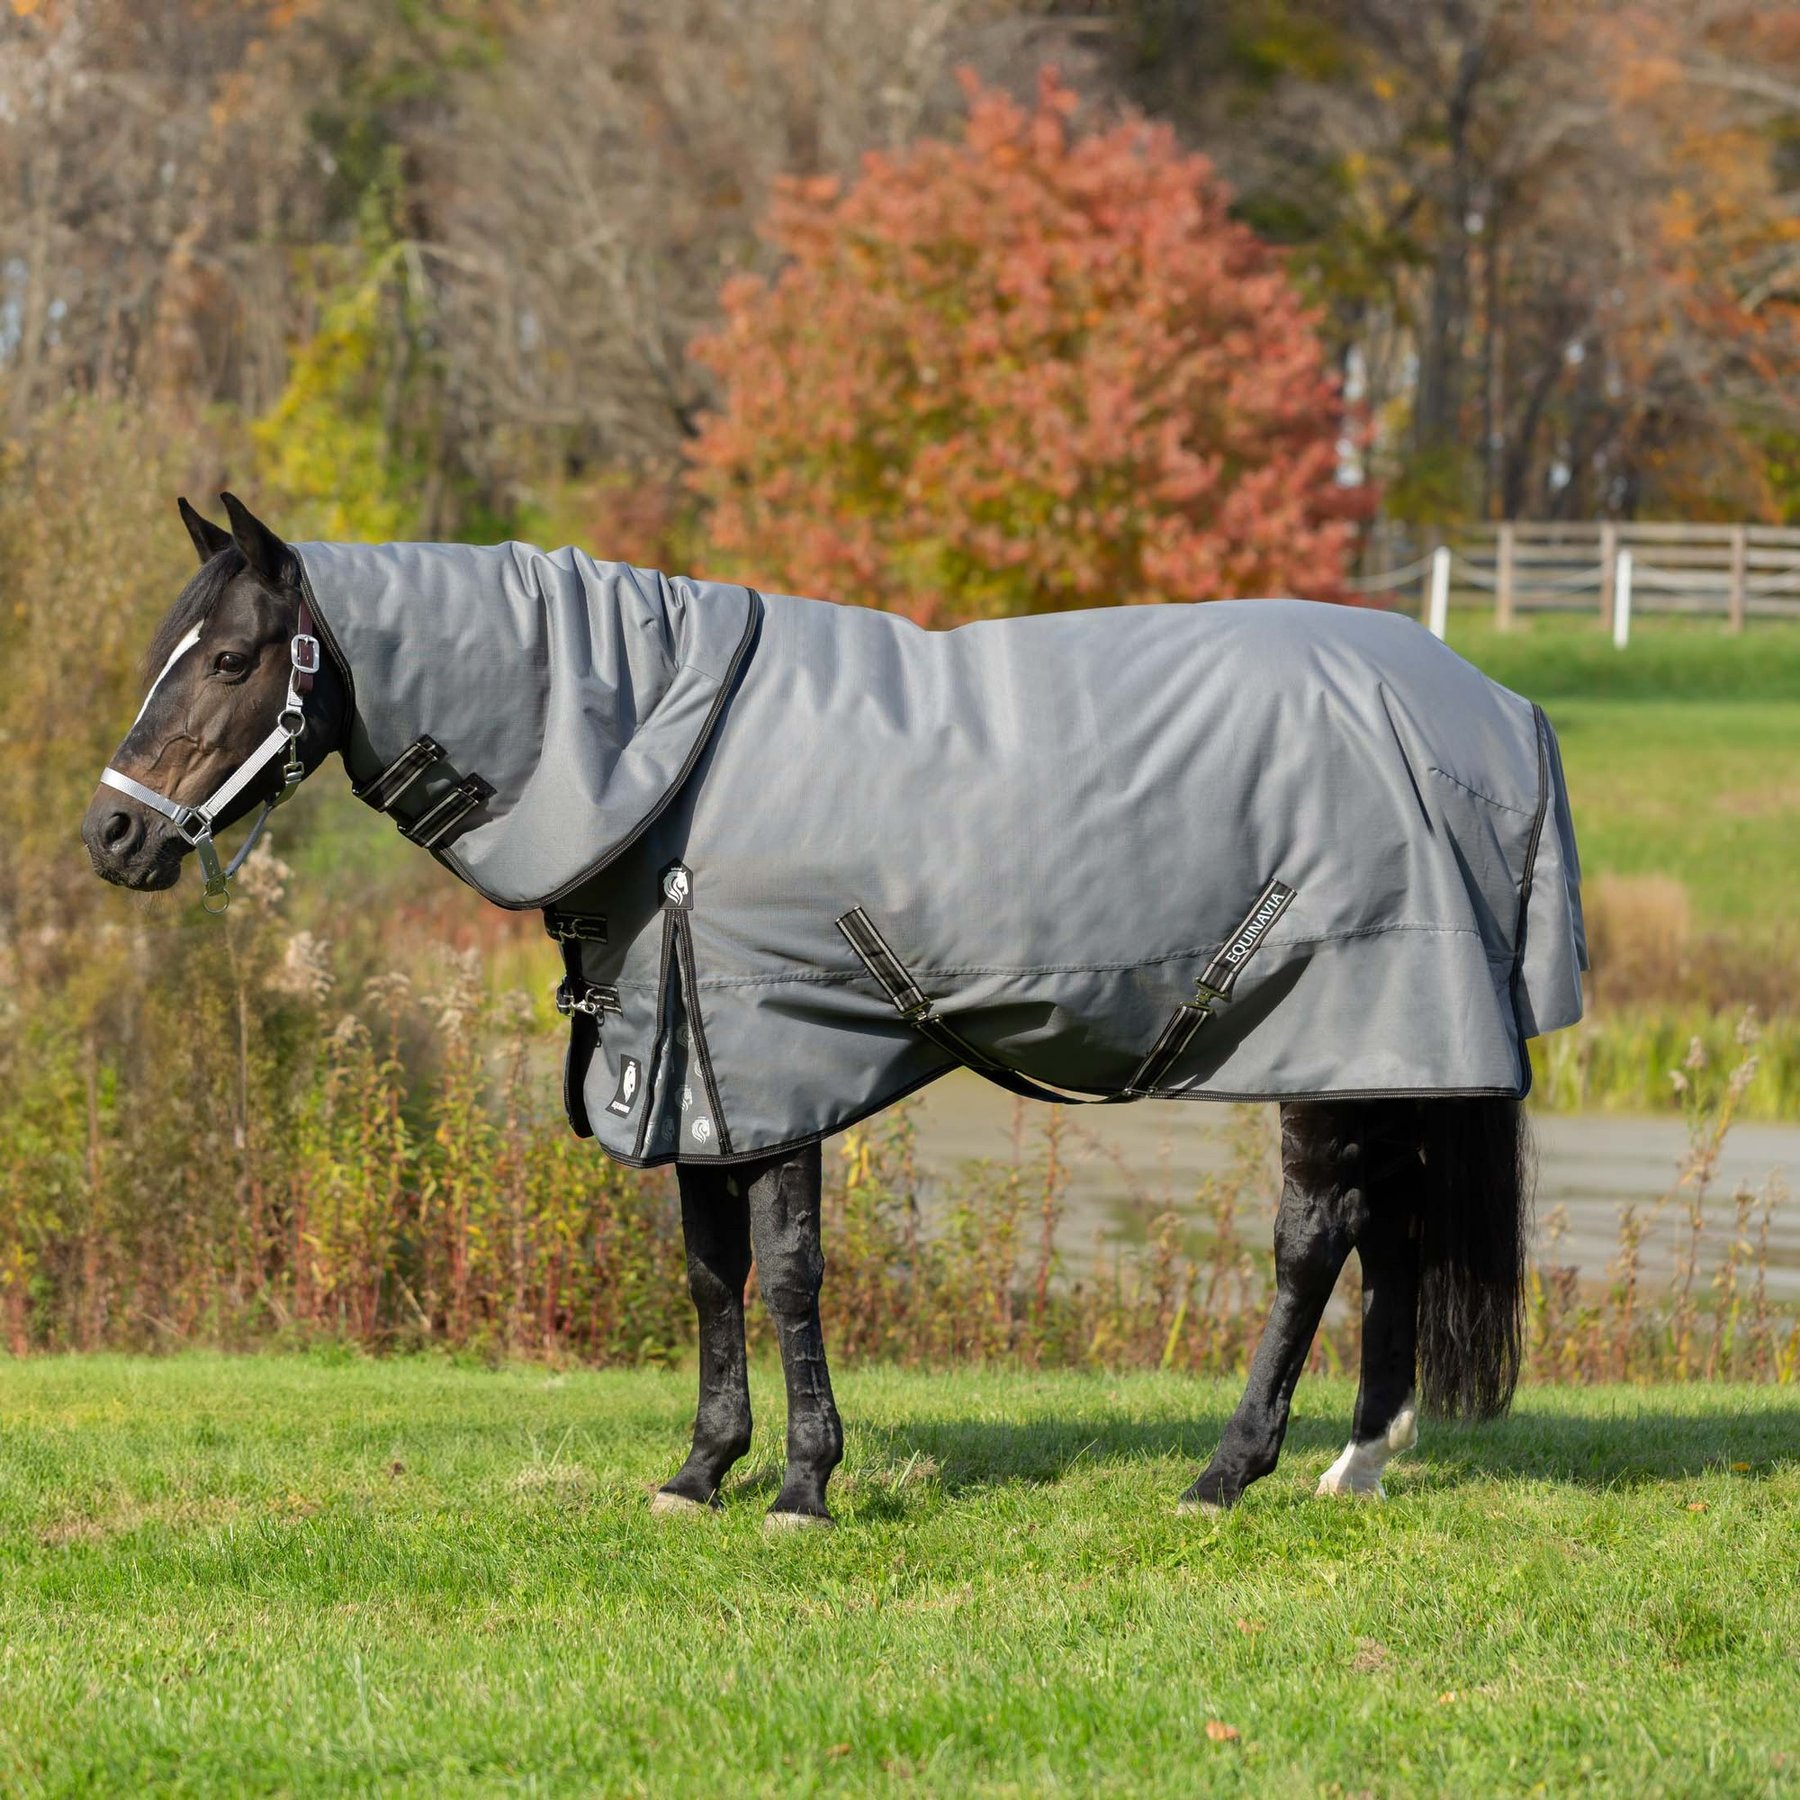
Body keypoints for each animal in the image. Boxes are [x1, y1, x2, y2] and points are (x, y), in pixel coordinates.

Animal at [84, 494, 1576, 1526]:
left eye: (232, 659)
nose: (114, 837)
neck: (662, 758)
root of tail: (1489, 707)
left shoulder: (773, 1057)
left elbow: (790, 1269)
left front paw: (804, 1485)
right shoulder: (685, 1064)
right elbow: (710, 1271)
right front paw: (700, 1471)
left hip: (1333, 1028)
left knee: (1315, 1239)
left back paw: (1227, 1471)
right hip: (1382, 1048)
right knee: (1392, 1232)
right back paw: (1358, 1461)